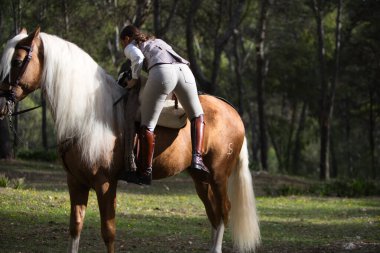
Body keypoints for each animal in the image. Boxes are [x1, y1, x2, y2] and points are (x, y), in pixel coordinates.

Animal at [0, 28, 260, 253]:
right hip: (200, 178)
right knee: (213, 214)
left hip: (218, 176)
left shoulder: (105, 183)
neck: (88, 115)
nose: (2, 102)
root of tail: (233, 112)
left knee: (224, 211)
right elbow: (75, 227)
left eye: (18, 62)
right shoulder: (75, 181)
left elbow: (108, 232)